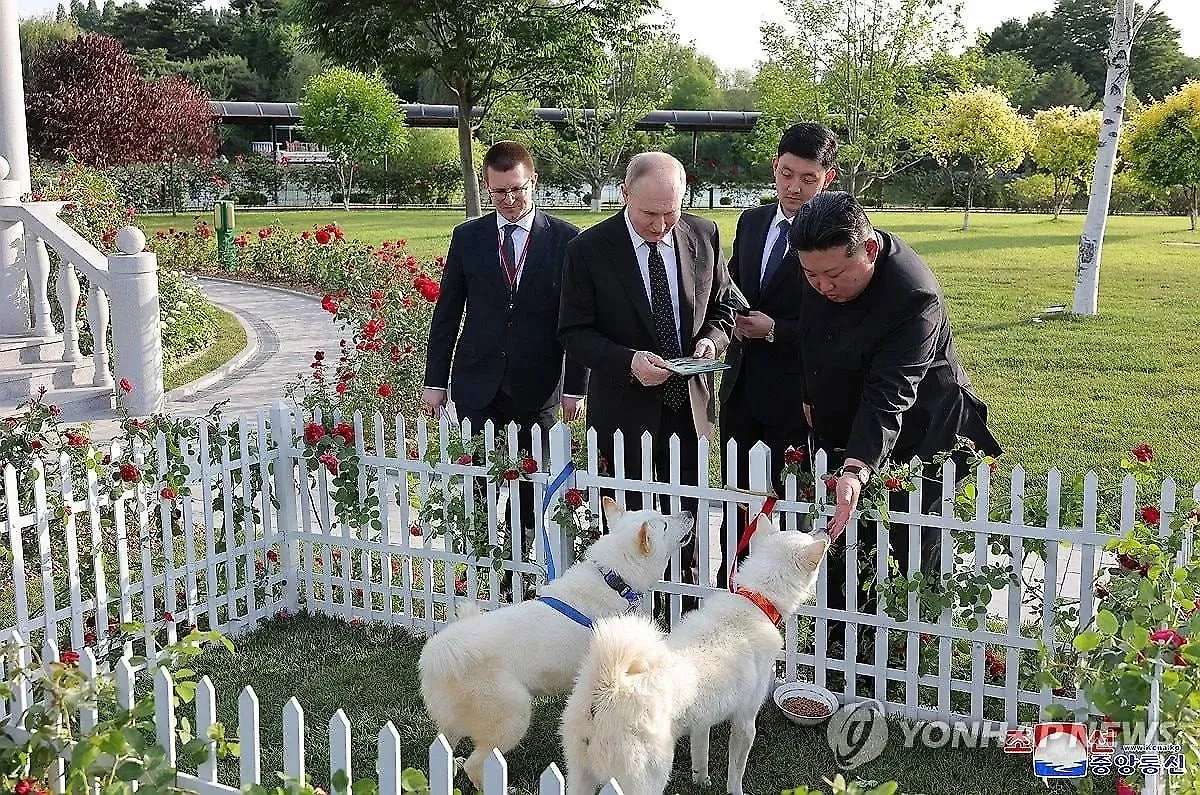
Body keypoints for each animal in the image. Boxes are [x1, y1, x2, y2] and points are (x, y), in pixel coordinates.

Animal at [417, 499, 696, 782]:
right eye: (664, 523)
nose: (688, 512)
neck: (615, 580)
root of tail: (436, 654)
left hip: (453, 723)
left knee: (445, 747)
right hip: (514, 715)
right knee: (476, 764)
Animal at [559, 521, 825, 795]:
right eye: (807, 534)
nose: (825, 530)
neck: (756, 600)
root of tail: (609, 686)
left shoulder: (702, 722)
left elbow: (701, 754)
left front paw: (702, 781)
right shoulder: (745, 722)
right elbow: (736, 772)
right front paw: (734, 790)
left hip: (580, 777)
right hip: (646, 780)